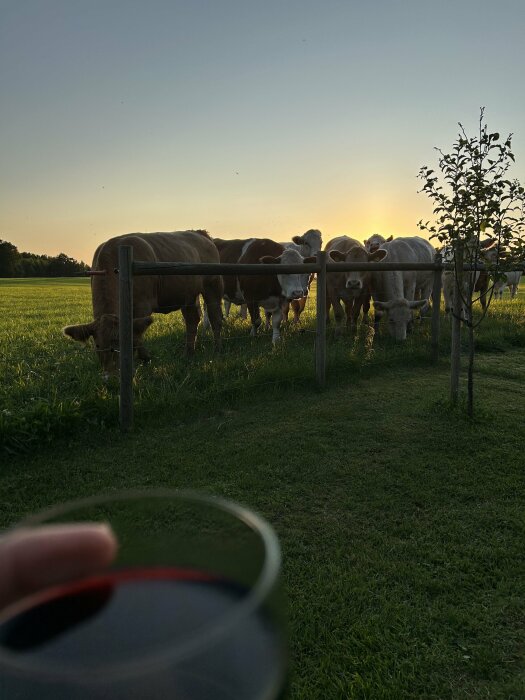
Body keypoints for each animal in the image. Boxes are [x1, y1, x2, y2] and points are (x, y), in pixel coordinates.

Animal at [64, 231, 223, 378]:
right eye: (98, 345)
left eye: (121, 343)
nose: (112, 375)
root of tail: (199, 233)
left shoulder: (142, 306)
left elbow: (137, 336)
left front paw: (144, 359)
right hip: (187, 295)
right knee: (192, 320)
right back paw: (188, 354)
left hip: (212, 286)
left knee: (215, 317)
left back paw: (217, 350)